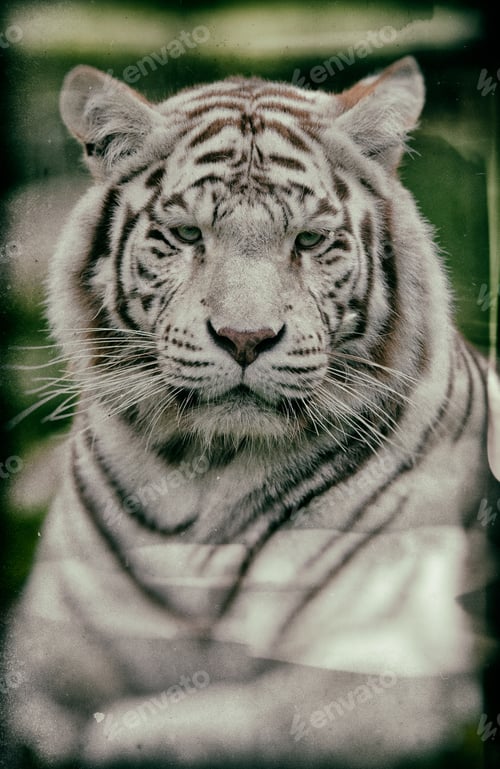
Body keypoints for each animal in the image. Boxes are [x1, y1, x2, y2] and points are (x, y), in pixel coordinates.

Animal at [4, 55, 500, 769]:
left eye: (310, 240)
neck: (202, 474)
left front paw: (111, 738)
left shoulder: (389, 659)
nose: (244, 338)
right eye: (187, 235)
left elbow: (241, 722)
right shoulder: (46, 639)